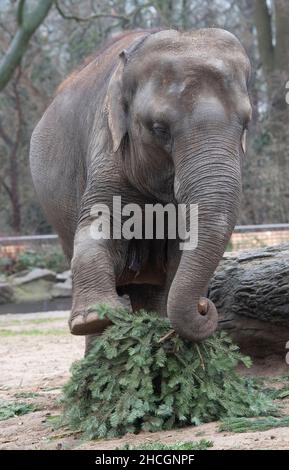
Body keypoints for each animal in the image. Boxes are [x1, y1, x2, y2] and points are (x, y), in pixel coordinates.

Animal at [29, 27, 250, 350]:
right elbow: (97, 224)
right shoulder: (106, 144)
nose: (204, 306)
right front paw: (92, 318)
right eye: (159, 129)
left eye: (246, 124)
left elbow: (181, 251)